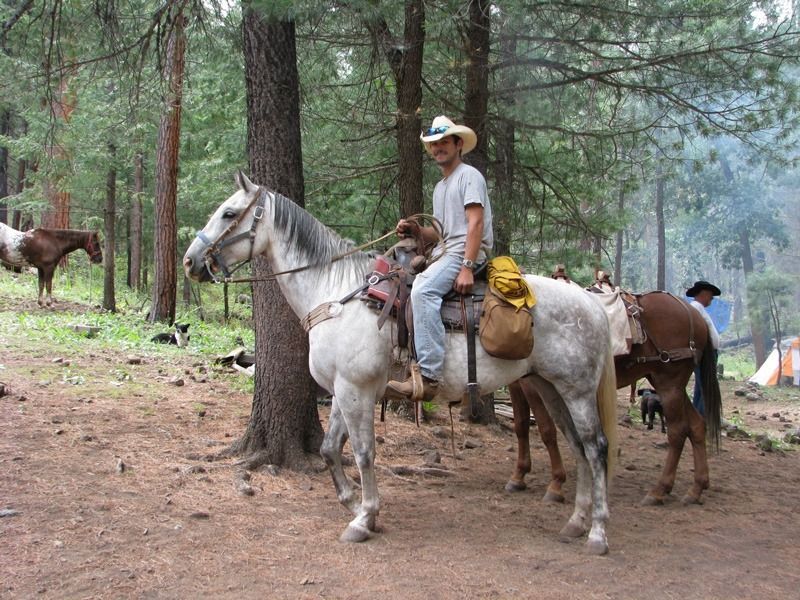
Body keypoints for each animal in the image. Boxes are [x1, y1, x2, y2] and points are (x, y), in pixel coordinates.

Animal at [183, 171, 619, 554]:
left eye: (228, 213)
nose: (189, 261)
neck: (337, 296)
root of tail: (593, 304)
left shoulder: (356, 390)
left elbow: (363, 452)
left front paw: (364, 518)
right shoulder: (342, 390)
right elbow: (329, 448)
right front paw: (353, 502)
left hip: (577, 390)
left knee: (596, 447)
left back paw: (598, 532)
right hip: (549, 386)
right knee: (577, 445)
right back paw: (576, 522)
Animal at [506, 291, 721, 507]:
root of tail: (693, 313)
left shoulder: (535, 384)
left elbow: (547, 431)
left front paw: (556, 484)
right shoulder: (516, 384)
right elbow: (521, 426)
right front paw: (518, 476)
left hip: (670, 384)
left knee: (678, 431)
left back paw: (659, 490)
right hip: (668, 384)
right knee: (696, 426)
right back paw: (696, 488)